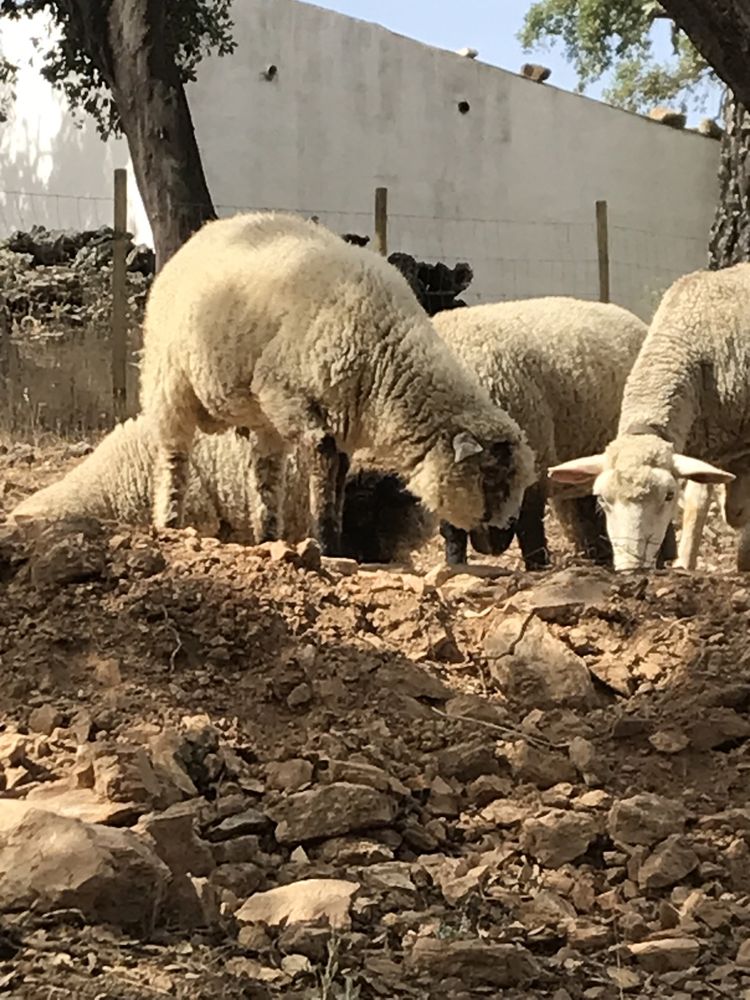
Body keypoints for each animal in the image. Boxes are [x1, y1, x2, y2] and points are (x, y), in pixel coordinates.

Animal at [137, 211, 536, 556]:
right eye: (492, 478)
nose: (504, 538)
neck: (386, 348)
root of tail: (209, 229)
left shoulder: (339, 419)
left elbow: (339, 472)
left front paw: (333, 538)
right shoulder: (287, 394)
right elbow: (323, 458)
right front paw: (328, 543)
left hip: (260, 417)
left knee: (265, 474)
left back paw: (267, 535)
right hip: (170, 380)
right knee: (174, 455)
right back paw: (170, 522)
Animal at [428, 292, 676, 568]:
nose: (491, 547)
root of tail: (629, 316)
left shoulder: (534, 459)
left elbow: (530, 525)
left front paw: (537, 567)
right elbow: (451, 529)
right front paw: (455, 565)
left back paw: (664, 557)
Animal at [548, 264, 750, 572]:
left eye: (668, 495)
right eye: (602, 499)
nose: (631, 568)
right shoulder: (700, 450)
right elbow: (699, 503)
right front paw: (685, 563)